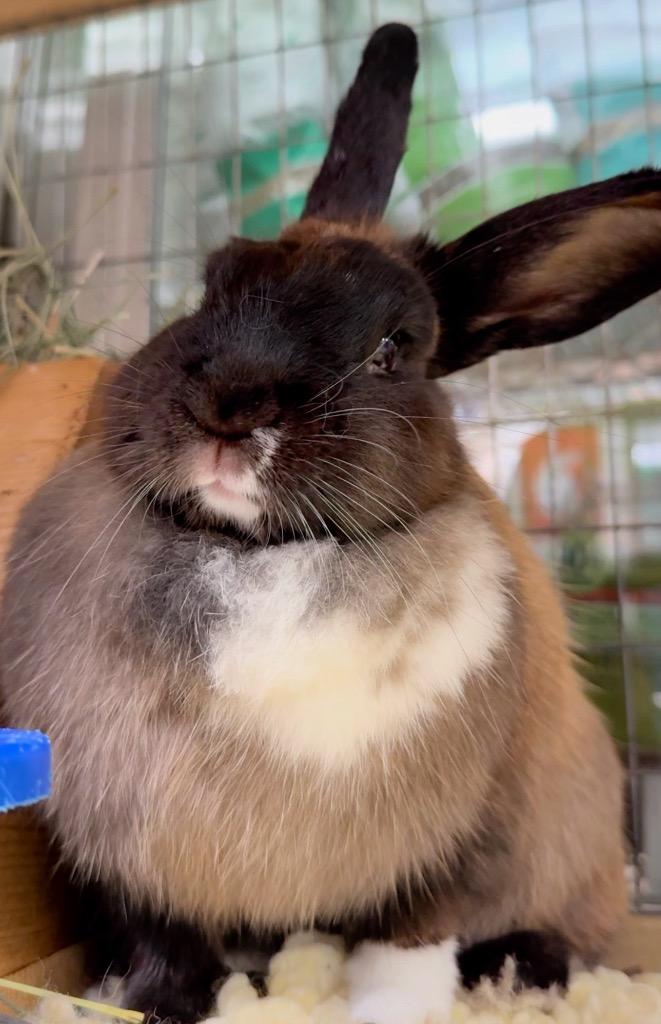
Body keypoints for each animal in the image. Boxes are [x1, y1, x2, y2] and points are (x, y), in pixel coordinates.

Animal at [2, 21, 661, 1024]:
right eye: (210, 286)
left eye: (394, 348)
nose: (231, 406)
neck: (265, 558)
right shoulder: (128, 848)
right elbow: (161, 937)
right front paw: (160, 1001)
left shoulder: (448, 850)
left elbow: (407, 939)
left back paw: (521, 970)